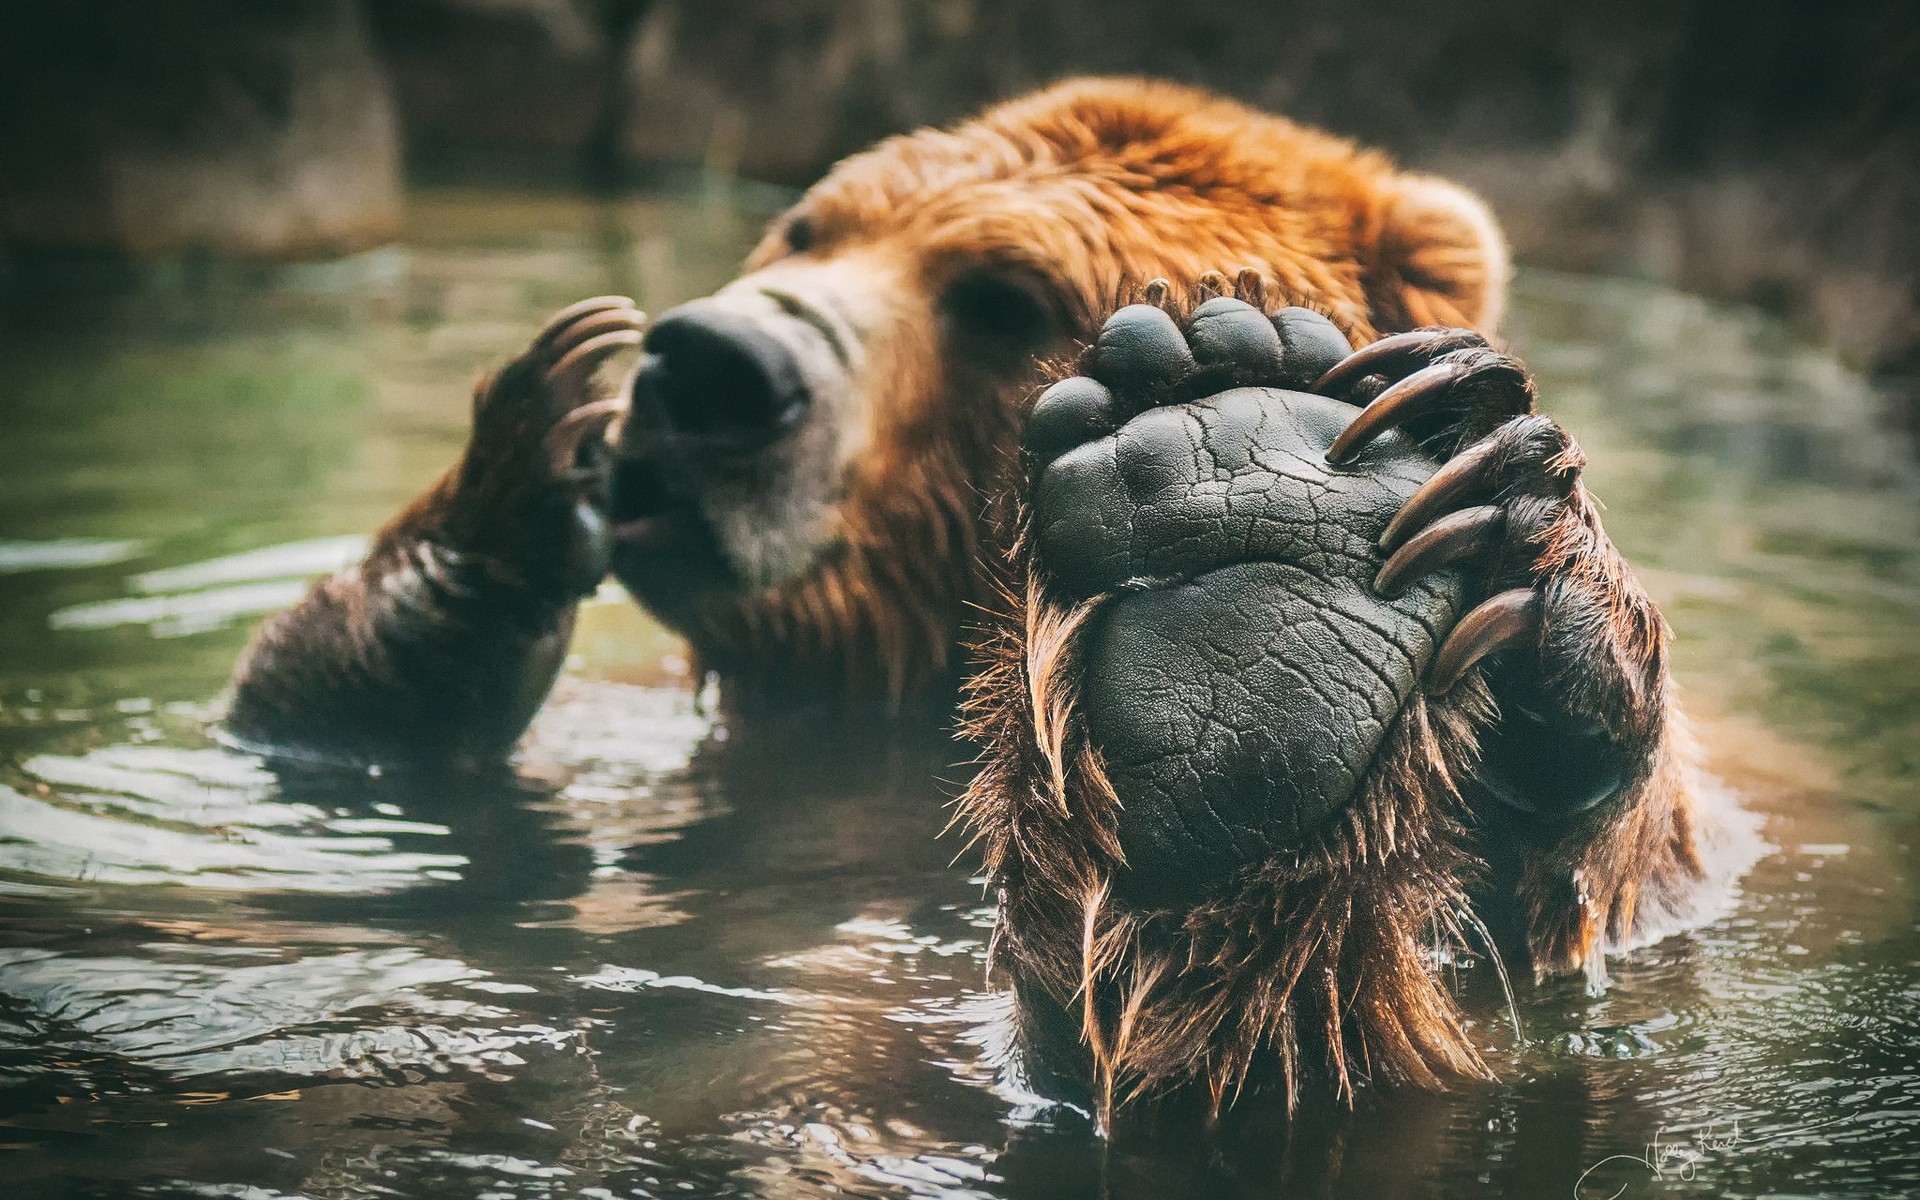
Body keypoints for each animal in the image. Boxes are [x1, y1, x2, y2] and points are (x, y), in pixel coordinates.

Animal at [224, 79, 1712, 1121]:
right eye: (810, 224)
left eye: (1000, 294)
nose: (708, 363)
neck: (888, 687)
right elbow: (305, 742)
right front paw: (538, 438)